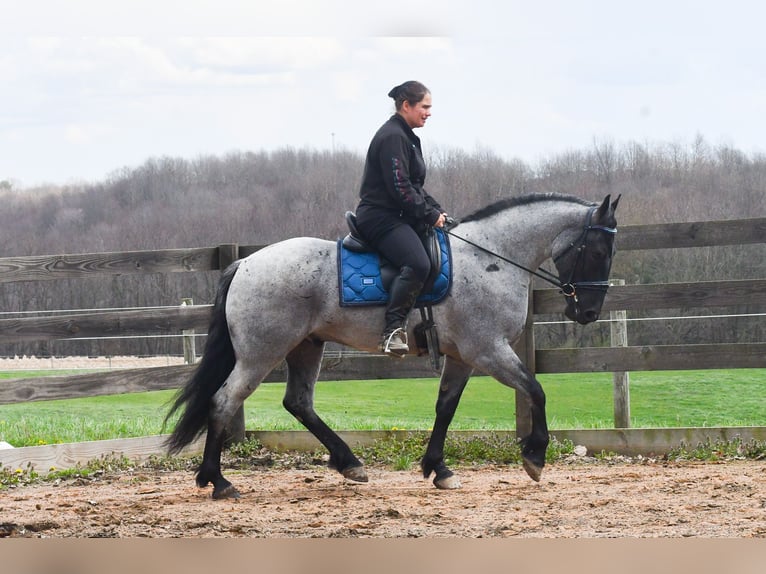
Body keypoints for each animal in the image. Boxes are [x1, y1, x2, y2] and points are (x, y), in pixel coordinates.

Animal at [165, 192, 620, 499]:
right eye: (599, 249)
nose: (588, 312)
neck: (492, 257)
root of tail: (246, 262)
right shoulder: (488, 350)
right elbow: (536, 390)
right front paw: (535, 457)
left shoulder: (462, 357)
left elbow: (445, 407)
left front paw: (438, 468)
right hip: (261, 353)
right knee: (224, 401)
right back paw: (218, 480)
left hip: (306, 347)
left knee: (298, 403)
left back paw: (349, 464)